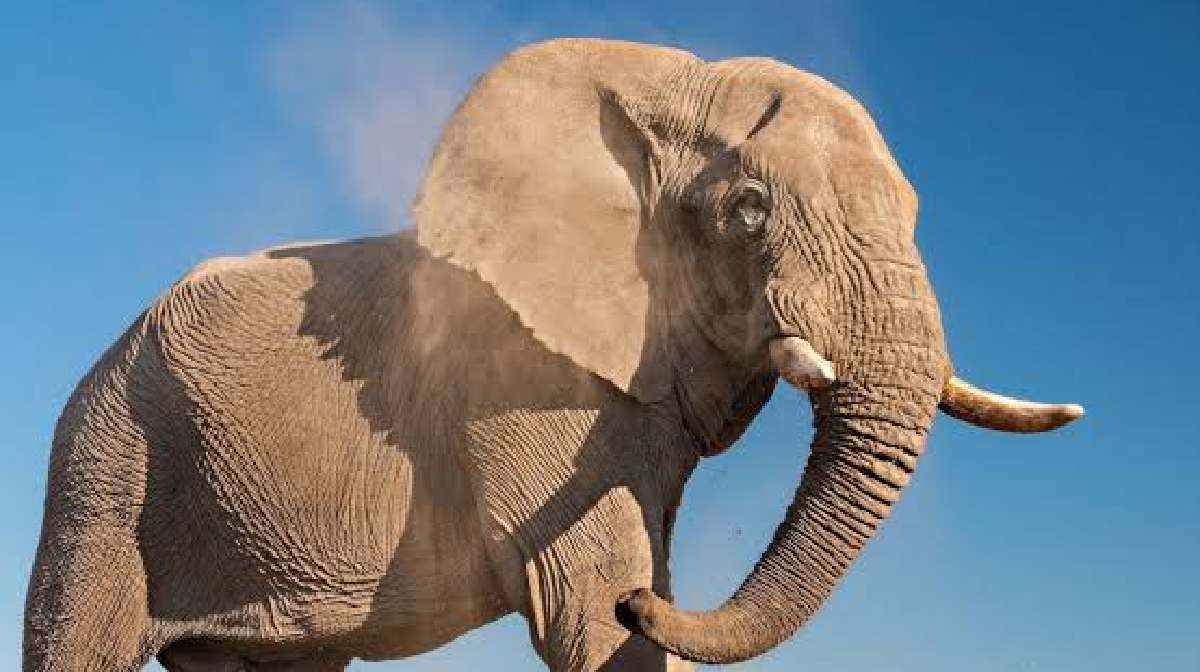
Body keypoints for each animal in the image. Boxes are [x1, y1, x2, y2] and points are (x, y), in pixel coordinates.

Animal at [24, 38, 1083, 671]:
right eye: (748, 212)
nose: (644, 603)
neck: (664, 80)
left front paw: (646, 592)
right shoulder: (518, 381)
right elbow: (579, 595)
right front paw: (621, 600)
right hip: (105, 464)